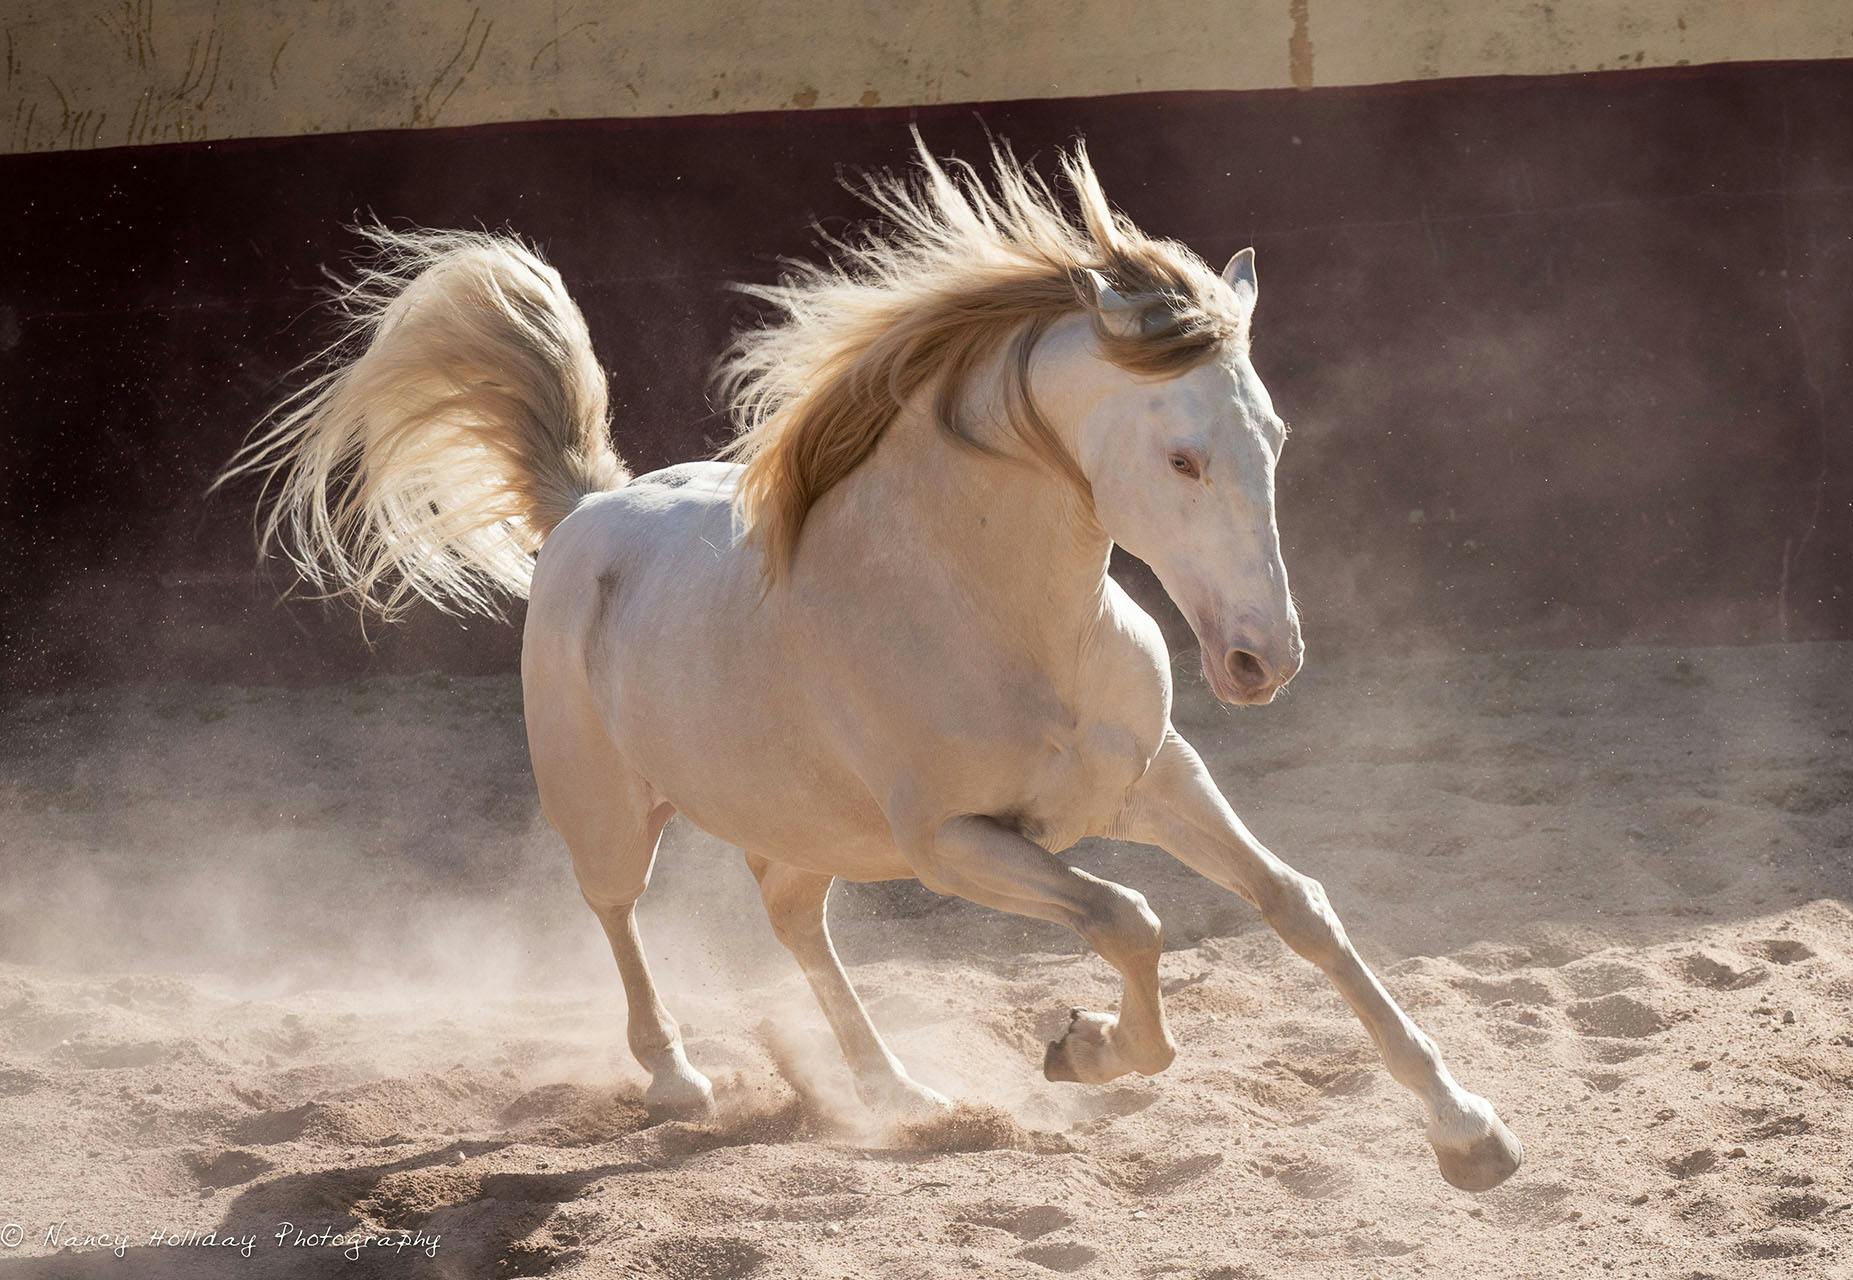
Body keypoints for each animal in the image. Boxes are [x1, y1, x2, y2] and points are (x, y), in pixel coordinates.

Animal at [220, 138, 1519, 1192]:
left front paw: (1470, 1133)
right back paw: (680, 1077)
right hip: (607, 810)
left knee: (796, 924)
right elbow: (1131, 917)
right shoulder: (955, 843)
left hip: (802, 827)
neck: (1002, 620)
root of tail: (586, 509)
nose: (1263, 657)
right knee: (620, 914)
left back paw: (899, 1093)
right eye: (1182, 456)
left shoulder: (1154, 776)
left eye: (1274, 439)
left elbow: (1296, 904)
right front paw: (1083, 1048)